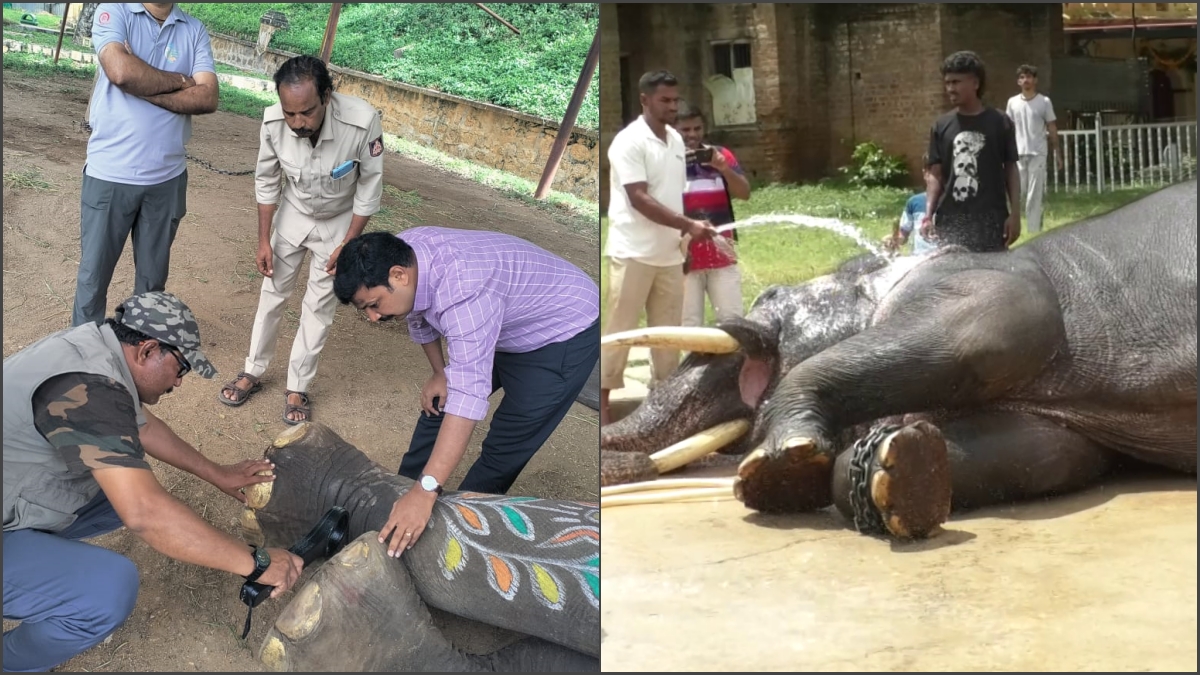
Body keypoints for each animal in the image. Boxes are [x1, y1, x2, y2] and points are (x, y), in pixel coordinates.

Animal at [604, 181, 1195, 538]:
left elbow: (980, 333)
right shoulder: (1061, 431)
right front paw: (900, 466)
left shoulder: (984, 288)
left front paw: (779, 464)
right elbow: (1049, 454)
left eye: (769, 295)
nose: (628, 467)